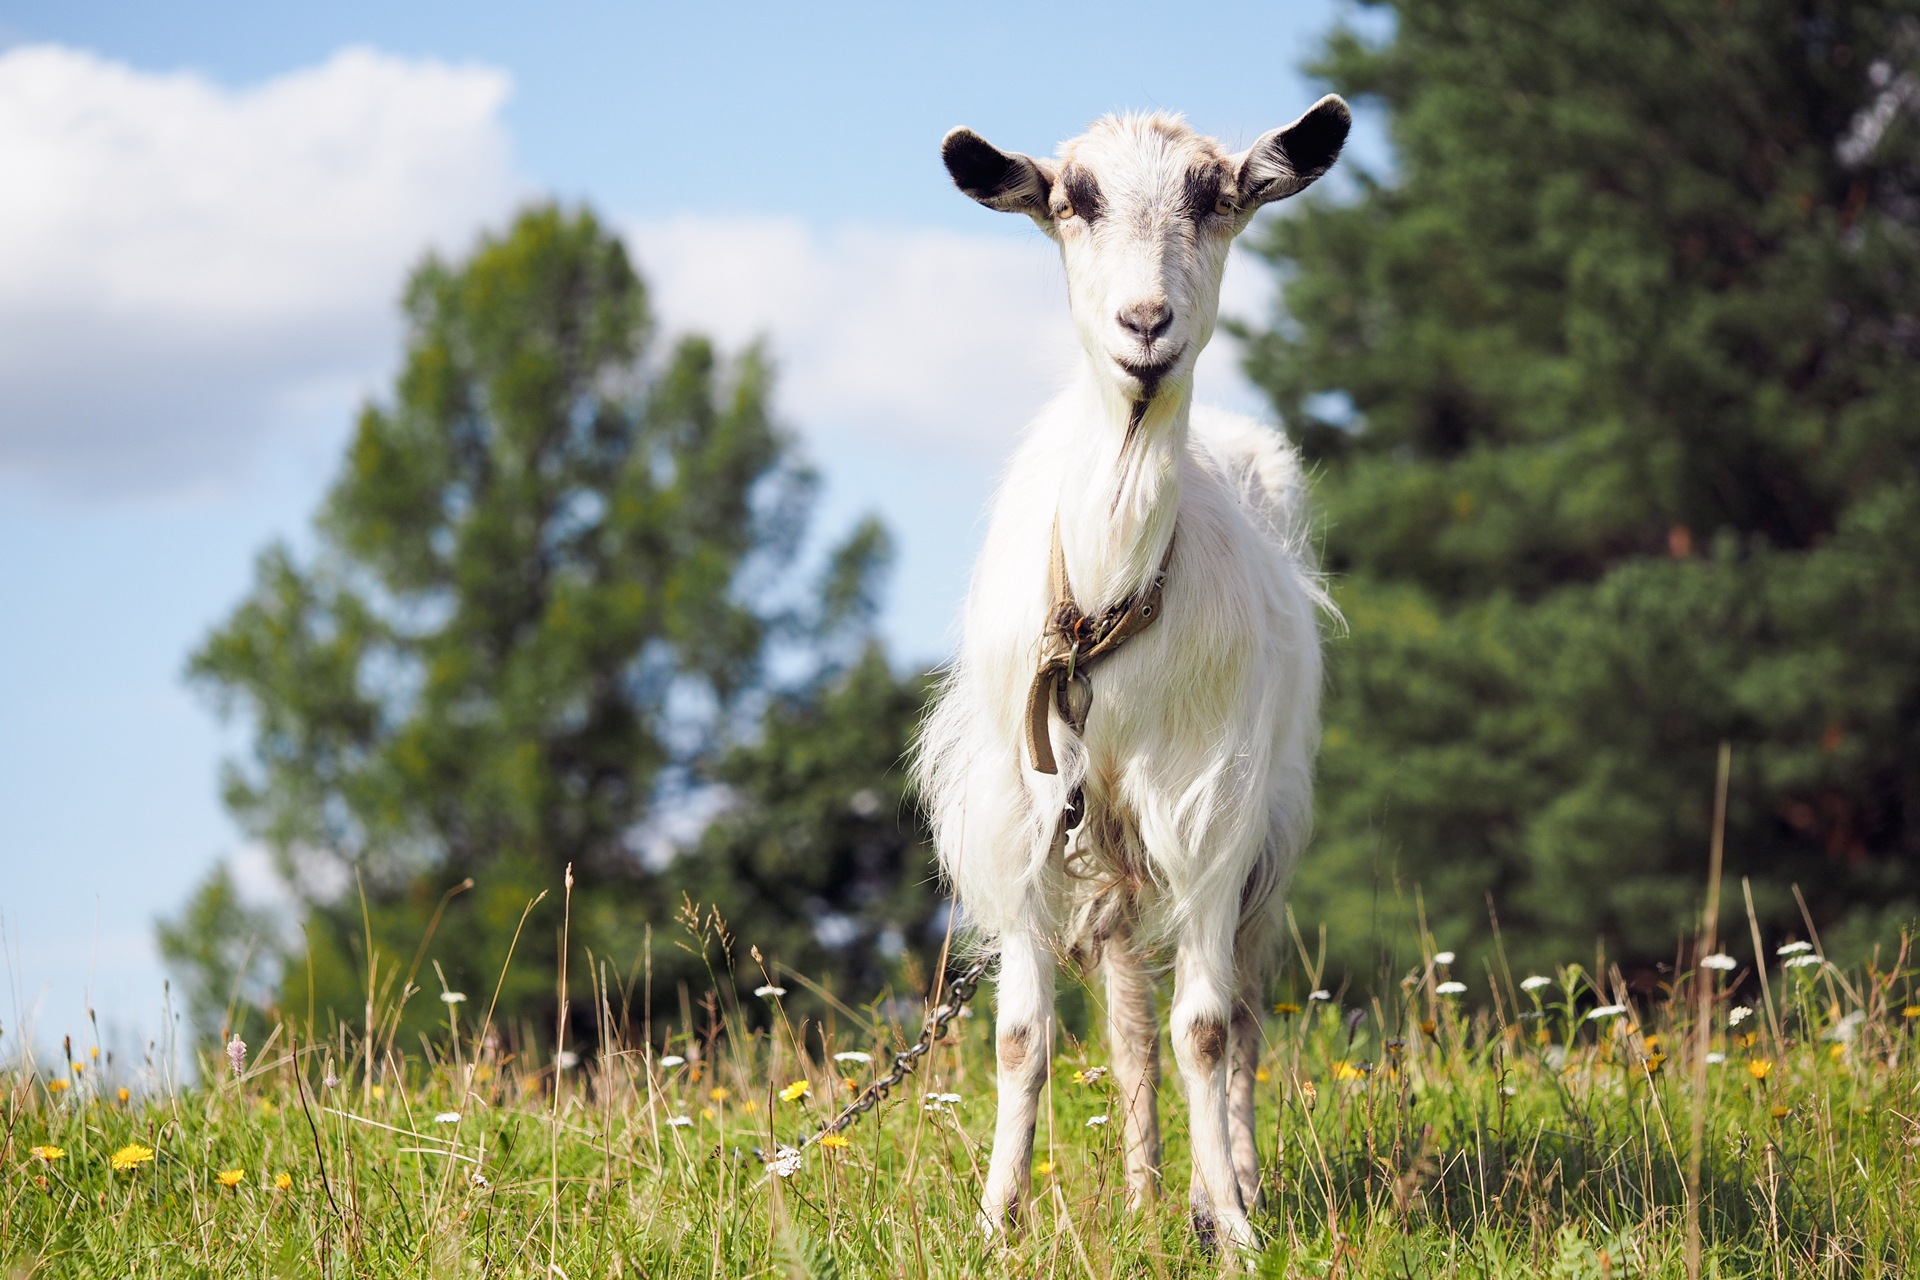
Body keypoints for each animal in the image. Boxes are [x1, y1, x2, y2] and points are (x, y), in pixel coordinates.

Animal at [912, 99, 1349, 1251]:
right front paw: (993, 1221)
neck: (1107, 603)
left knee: (1235, 1017)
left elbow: (1207, 1029)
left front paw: (1235, 1227)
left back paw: (1225, 1184)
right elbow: (1024, 1037)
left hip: (1261, 840)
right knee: (1128, 1016)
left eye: (1218, 196)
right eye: (1075, 199)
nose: (1146, 324)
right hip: (1104, 844)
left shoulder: (1212, 810)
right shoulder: (1023, 815)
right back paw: (1152, 1188)